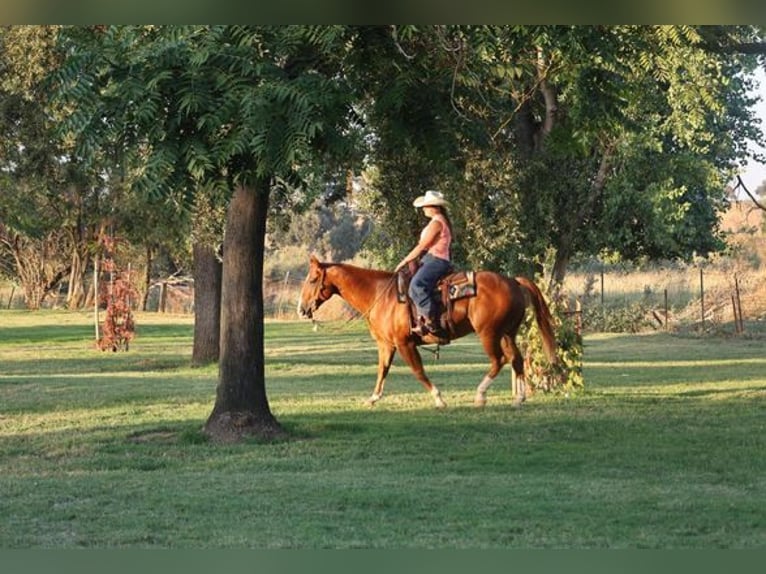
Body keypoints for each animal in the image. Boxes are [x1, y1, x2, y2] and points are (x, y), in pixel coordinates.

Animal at [298, 255, 558, 408]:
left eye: (311, 280)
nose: (301, 309)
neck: (380, 294)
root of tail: (513, 281)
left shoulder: (405, 343)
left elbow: (418, 371)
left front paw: (439, 399)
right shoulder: (386, 344)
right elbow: (382, 370)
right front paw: (373, 397)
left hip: (489, 333)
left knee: (499, 360)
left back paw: (480, 395)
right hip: (507, 333)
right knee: (516, 359)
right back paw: (519, 398)